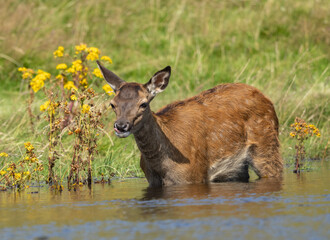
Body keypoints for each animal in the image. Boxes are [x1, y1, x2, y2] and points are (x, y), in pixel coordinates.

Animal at [96, 61, 284, 188]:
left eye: (143, 104)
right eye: (112, 104)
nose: (121, 126)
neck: (160, 165)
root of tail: (266, 99)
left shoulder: (193, 175)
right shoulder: (152, 181)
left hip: (267, 146)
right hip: (238, 168)